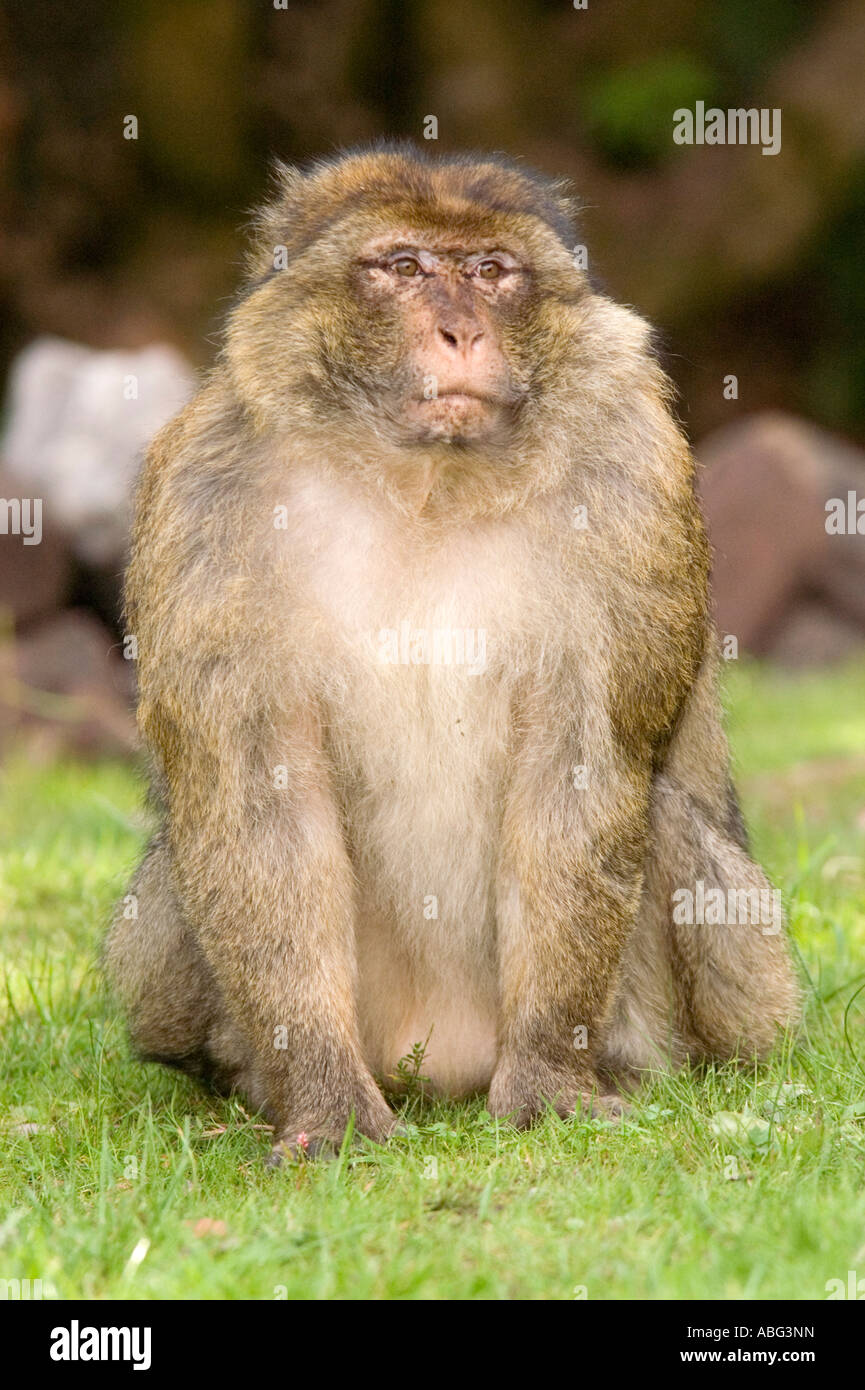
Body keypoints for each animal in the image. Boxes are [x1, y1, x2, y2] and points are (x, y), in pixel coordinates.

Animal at [104, 143, 801, 1162]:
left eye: (489, 270)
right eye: (402, 266)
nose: (459, 331)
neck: (423, 482)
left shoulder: (632, 473)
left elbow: (577, 769)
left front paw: (549, 1082)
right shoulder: (203, 493)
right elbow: (257, 792)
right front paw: (323, 1103)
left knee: (666, 821)